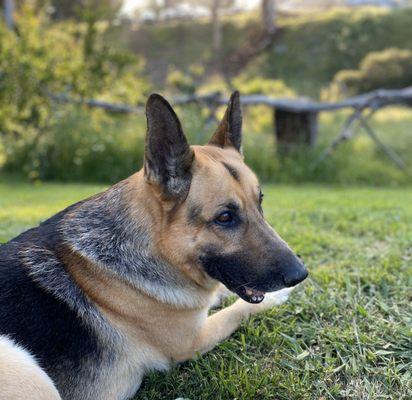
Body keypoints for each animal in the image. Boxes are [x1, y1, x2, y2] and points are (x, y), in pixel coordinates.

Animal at [0, 93, 308, 400]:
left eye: (261, 202)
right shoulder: (193, 340)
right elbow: (237, 310)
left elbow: (219, 293)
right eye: (225, 217)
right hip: (30, 372)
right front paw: (276, 297)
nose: (300, 274)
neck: (154, 249)